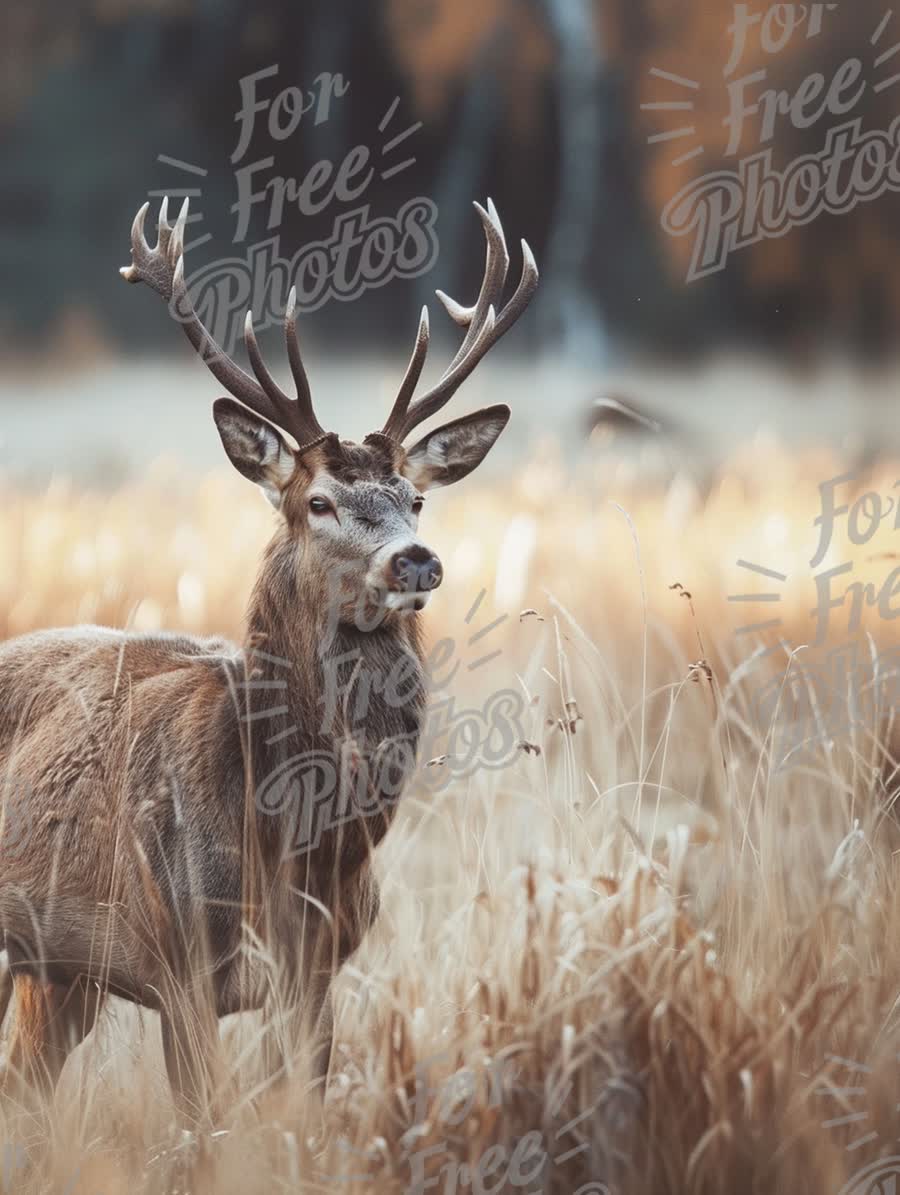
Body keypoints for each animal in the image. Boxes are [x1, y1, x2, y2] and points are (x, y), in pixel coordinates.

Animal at [0, 193, 533, 1118]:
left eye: (416, 497)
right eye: (317, 501)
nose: (414, 560)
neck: (296, 839)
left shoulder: (318, 969)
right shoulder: (175, 955)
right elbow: (205, 1128)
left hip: (58, 969)